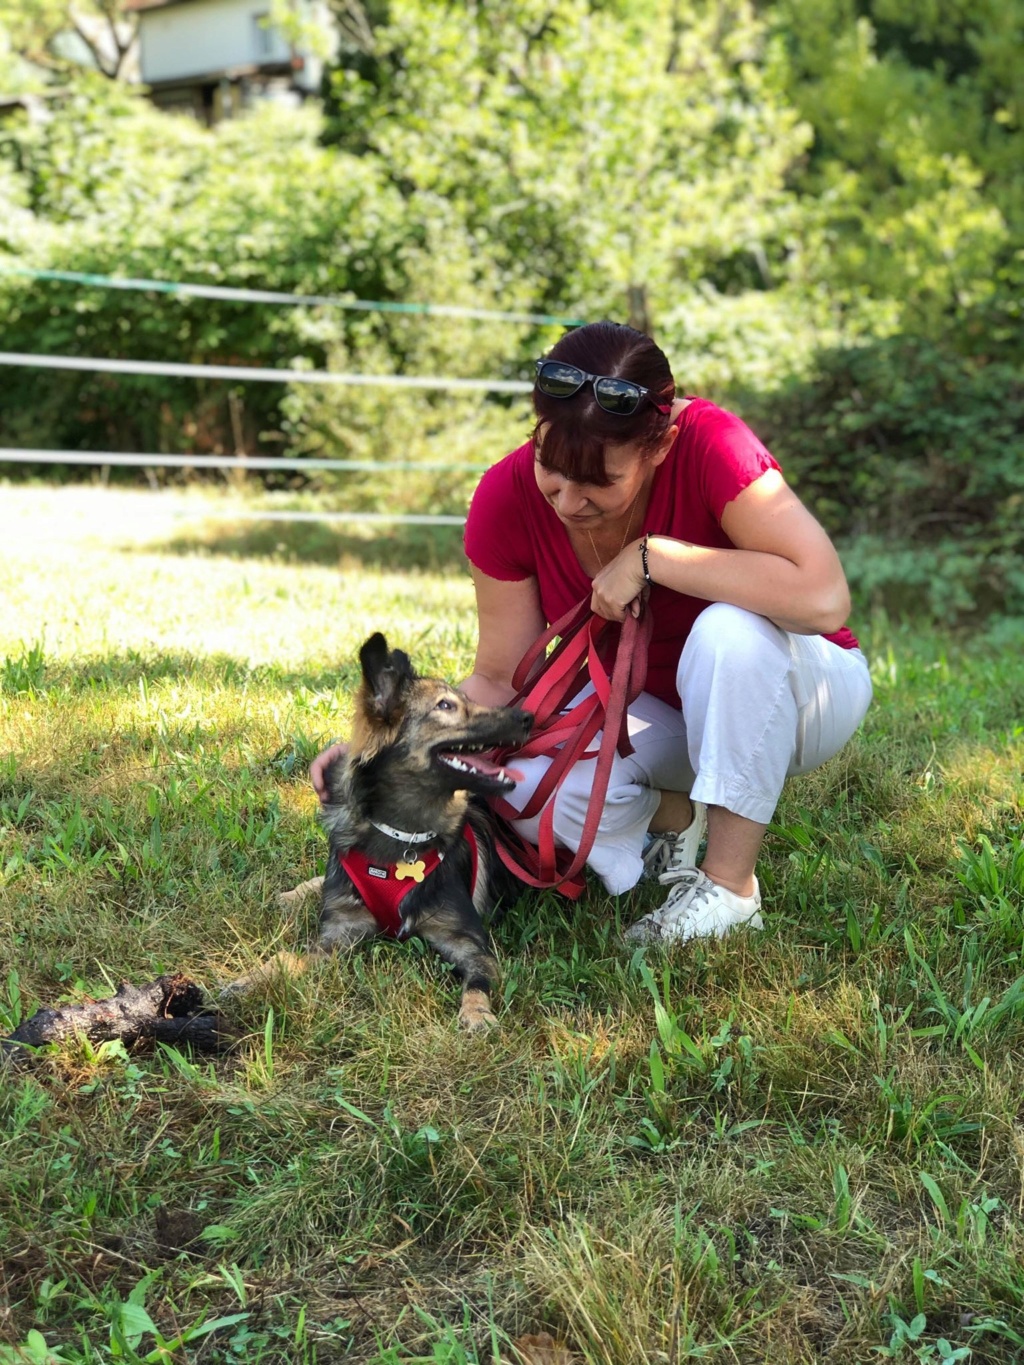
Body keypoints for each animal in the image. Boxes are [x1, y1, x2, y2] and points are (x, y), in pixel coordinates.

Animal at [252, 633, 532, 1026]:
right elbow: (287, 960)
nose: (528, 717)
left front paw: (477, 1015)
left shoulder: (468, 942)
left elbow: (477, 981)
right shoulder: (338, 932)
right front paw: (248, 980)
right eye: (446, 705)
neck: (403, 834)